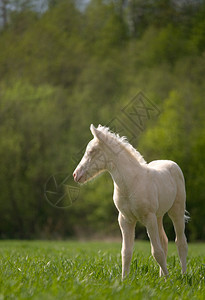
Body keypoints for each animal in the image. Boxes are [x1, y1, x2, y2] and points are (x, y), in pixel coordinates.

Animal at [73, 123, 188, 278]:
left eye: (91, 151)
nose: (76, 175)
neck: (131, 183)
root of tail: (171, 163)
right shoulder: (125, 219)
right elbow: (126, 252)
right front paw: (124, 280)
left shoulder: (148, 218)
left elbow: (156, 252)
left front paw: (169, 280)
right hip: (158, 215)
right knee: (164, 241)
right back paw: (161, 276)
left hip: (176, 210)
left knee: (180, 242)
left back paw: (183, 275)